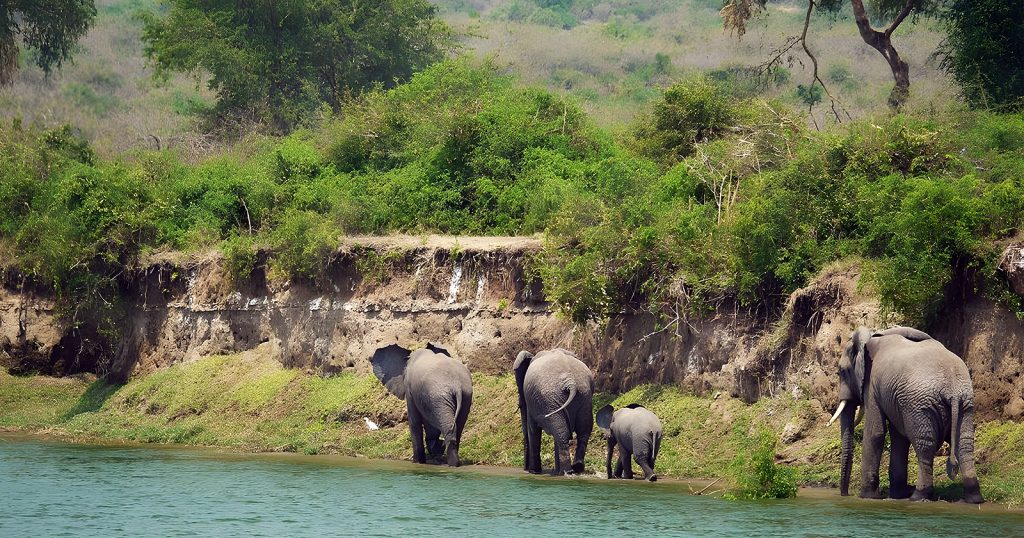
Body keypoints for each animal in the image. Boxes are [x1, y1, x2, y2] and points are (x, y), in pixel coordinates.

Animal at [831, 327, 983, 504]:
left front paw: (867, 497)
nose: (845, 494)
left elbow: (875, 433)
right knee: (964, 445)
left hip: (920, 405)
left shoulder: (872, 383)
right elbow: (899, 439)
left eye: (841, 372)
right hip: (965, 403)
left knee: (925, 446)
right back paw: (974, 498)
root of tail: (952, 390)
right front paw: (897, 495)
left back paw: (918, 496)